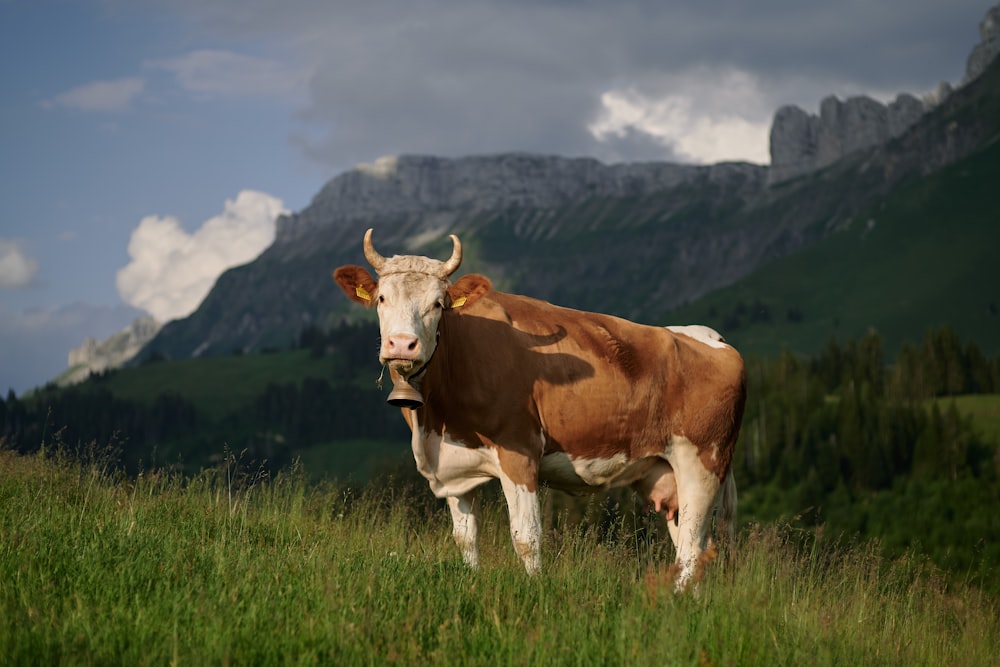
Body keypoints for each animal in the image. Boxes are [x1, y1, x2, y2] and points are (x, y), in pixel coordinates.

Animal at [332, 231, 748, 588]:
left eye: (437, 304)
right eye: (381, 298)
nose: (403, 345)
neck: (433, 422)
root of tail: (710, 337)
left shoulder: (519, 452)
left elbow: (526, 537)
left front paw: (535, 590)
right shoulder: (456, 468)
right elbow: (465, 540)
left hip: (703, 463)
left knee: (692, 550)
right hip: (668, 473)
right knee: (694, 547)